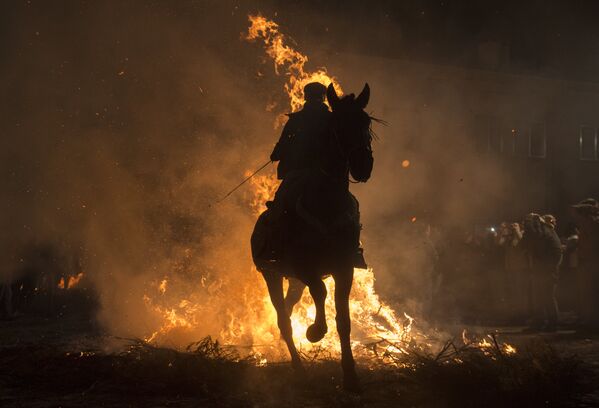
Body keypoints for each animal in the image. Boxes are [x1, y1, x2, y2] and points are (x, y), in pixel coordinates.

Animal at [250, 82, 372, 388]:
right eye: (338, 124)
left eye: (366, 121)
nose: (363, 165)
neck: (326, 204)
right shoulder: (304, 266)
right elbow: (320, 291)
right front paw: (315, 330)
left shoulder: (343, 268)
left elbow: (344, 320)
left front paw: (350, 375)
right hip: (272, 274)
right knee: (283, 319)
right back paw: (298, 367)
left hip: (293, 280)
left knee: (289, 307)